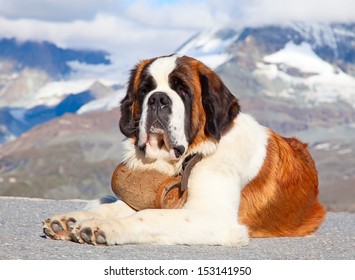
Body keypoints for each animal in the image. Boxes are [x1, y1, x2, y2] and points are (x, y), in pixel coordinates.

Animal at [43, 54, 326, 245]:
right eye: (145, 90)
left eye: (182, 90)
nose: (158, 98)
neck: (186, 159)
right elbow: (121, 206)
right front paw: (73, 220)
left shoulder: (213, 218)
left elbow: (149, 215)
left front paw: (104, 227)